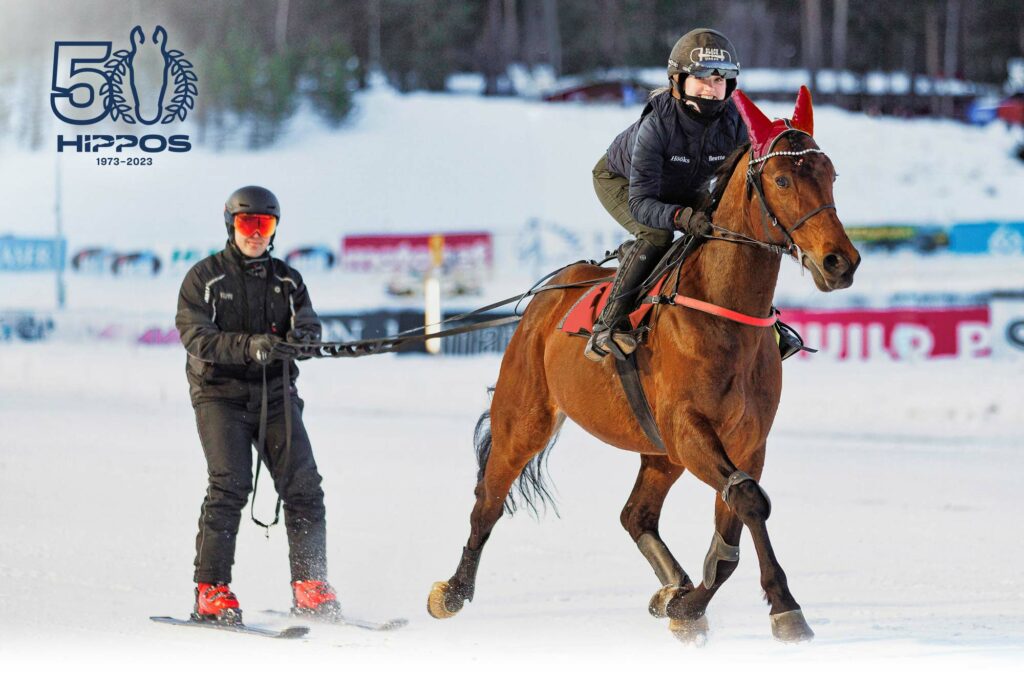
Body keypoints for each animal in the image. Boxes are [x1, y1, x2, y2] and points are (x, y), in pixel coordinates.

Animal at [428, 87, 860, 647]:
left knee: (636, 514)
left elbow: (734, 524)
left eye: (830, 174)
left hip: (660, 452)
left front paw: (688, 605)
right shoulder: (688, 427)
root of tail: (548, 293)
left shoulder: (746, 440)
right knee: (488, 502)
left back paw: (672, 586)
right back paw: (453, 591)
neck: (722, 310)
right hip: (524, 418)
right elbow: (749, 500)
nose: (840, 262)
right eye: (783, 179)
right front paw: (784, 607)